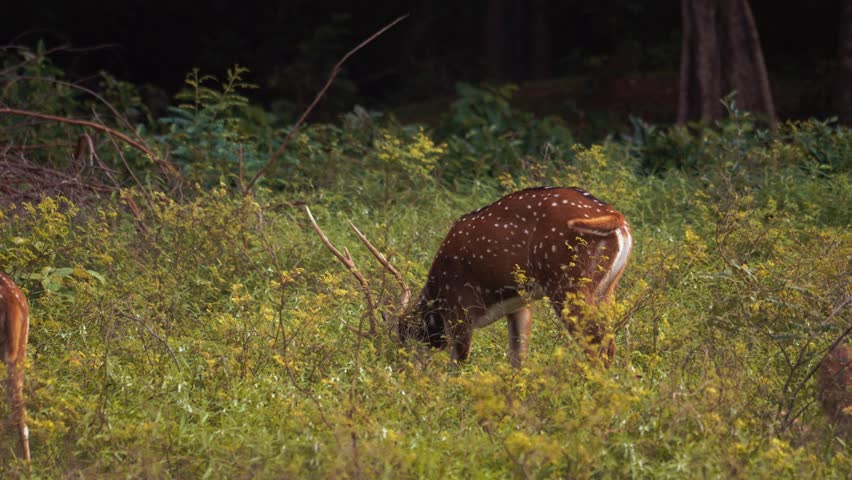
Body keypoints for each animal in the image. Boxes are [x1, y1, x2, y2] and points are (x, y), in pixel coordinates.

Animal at [307, 186, 632, 368]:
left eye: (404, 339)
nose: (402, 373)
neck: (437, 293)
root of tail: (617, 218)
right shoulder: (521, 303)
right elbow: (518, 359)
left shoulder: (461, 307)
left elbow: (458, 365)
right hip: (606, 288)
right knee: (610, 342)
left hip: (568, 285)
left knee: (598, 345)